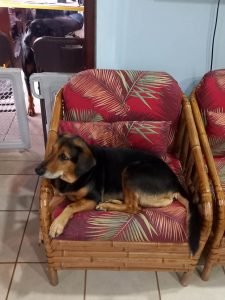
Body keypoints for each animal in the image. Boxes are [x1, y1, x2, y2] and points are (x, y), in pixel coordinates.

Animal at [35, 135, 202, 254]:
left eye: (64, 157)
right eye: (52, 150)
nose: (37, 170)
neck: (72, 177)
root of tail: (175, 180)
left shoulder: (92, 198)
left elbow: (70, 206)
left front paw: (56, 224)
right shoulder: (61, 195)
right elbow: (46, 210)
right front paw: (42, 231)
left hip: (131, 171)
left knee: (133, 208)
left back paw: (106, 205)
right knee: (132, 203)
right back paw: (110, 203)